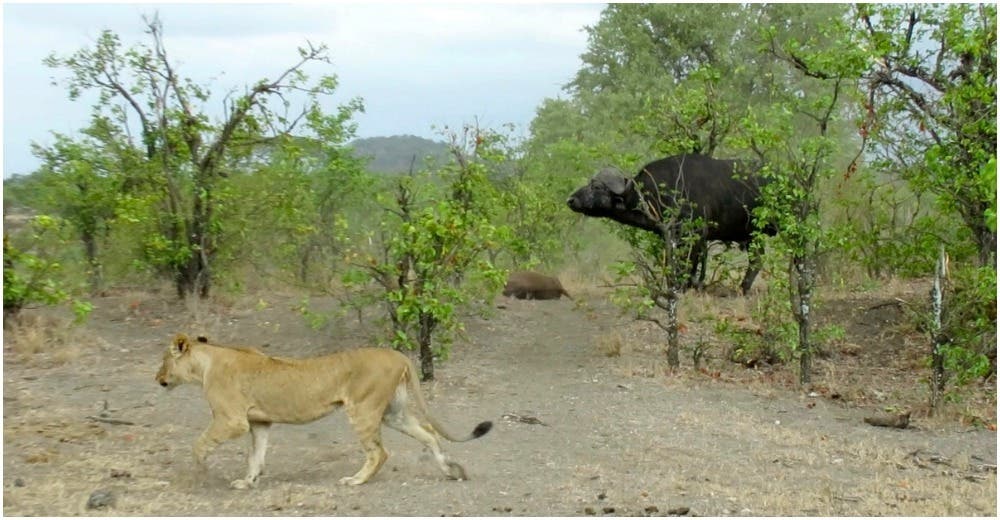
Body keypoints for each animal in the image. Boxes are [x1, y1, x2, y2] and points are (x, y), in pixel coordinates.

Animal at [572, 152, 772, 294]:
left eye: (597, 187)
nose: (571, 199)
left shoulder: (693, 235)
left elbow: (687, 264)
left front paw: (682, 288)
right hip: (753, 236)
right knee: (757, 259)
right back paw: (744, 288)